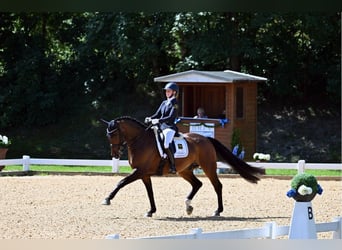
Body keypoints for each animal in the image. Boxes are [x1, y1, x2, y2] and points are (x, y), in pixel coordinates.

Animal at [99, 116, 264, 216]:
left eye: (113, 134)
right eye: (107, 135)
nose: (115, 154)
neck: (140, 141)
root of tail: (206, 139)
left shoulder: (139, 171)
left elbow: (121, 182)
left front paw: (107, 199)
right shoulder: (144, 174)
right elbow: (150, 192)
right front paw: (151, 210)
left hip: (208, 167)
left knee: (217, 185)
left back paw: (218, 210)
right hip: (184, 170)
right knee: (197, 184)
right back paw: (188, 206)